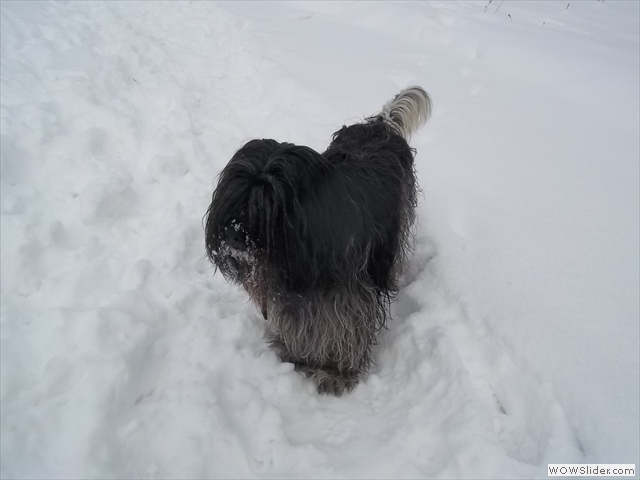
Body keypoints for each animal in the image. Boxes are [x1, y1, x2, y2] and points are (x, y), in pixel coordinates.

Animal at [204, 86, 436, 394]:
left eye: (268, 204)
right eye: (235, 194)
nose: (233, 234)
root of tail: (380, 124)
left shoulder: (347, 293)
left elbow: (347, 325)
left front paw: (337, 372)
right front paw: (294, 353)